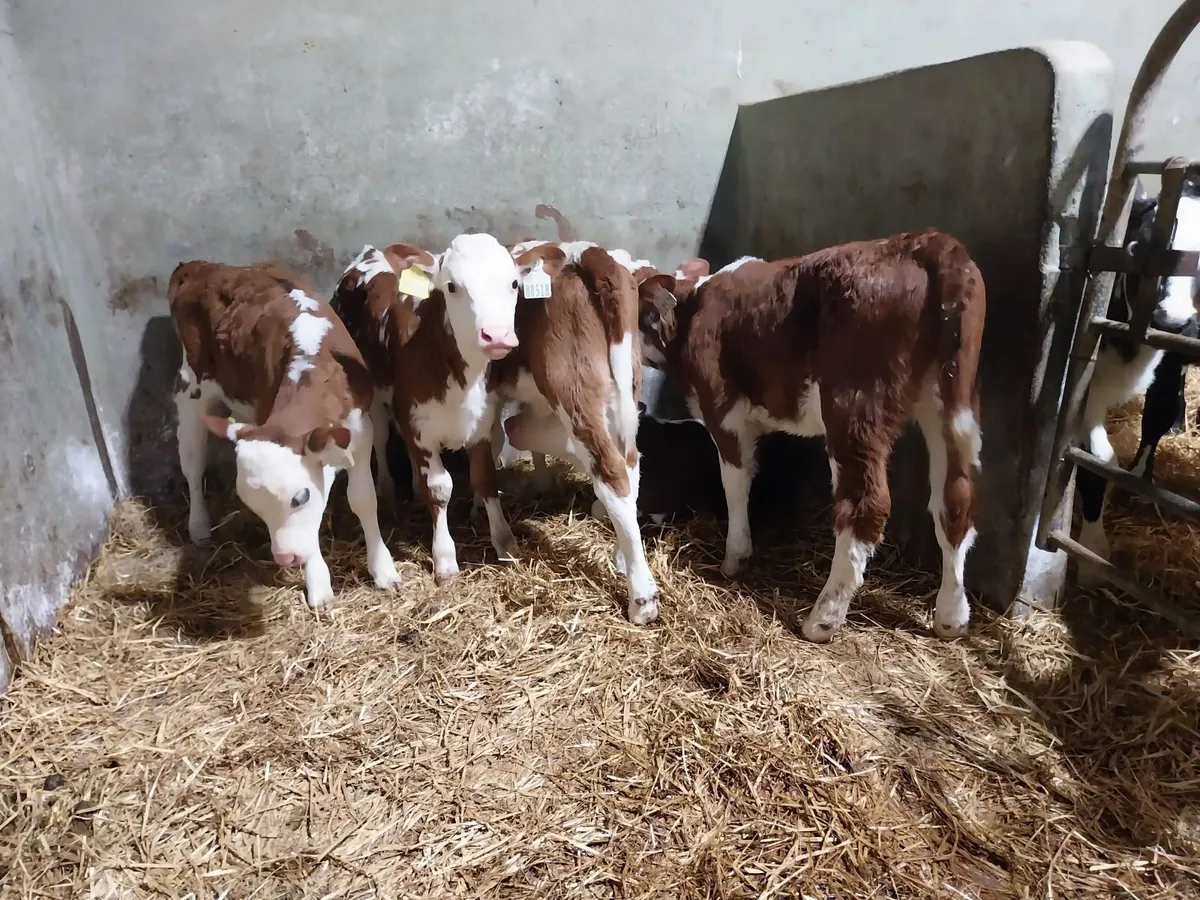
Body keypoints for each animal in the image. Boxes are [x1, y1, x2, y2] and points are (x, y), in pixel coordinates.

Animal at [168, 261, 402, 609]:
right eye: (252, 504)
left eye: (299, 497)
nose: (284, 558)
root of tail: (198, 267)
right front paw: (318, 583)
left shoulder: (360, 436)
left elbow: (363, 500)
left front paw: (383, 570)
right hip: (190, 390)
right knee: (193, 463)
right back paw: (198, 525)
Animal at [329, 233, 521, 583]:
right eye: (452, 286)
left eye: (513, 283)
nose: (497, 335)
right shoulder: (419, 425)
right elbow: (440, 488)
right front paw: (444, 558)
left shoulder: (480, 423)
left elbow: (485, 479)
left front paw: (505, 542)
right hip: (377, 397)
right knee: (381, 438)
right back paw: (388, 488)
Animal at [632, 230, 986, 642]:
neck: (690, 313)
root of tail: (927, 242)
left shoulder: (722, 409)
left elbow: (734, 481)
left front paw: (736, 556)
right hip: (951, 401)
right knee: (955, 499)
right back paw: (952, 617)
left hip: (854, 407)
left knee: (865, 505)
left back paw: (824, 617)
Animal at [1075, 179, 1200, 581]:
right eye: (1136, 246)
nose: (1171, 321)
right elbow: (1097, 459)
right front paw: (1092, 552)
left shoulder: (1171, 356)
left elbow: (1158, 411)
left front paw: (1141, 477)